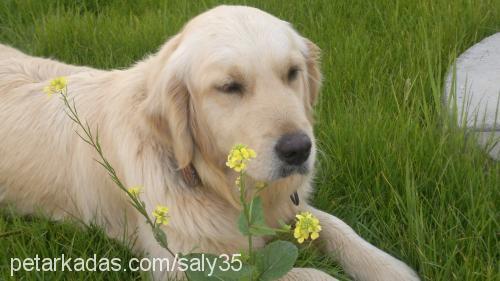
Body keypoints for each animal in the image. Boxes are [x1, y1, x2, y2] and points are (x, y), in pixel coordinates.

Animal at [0, 4, 420, 280]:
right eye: (230, 87)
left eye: (292, 73)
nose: (299, 149)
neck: (214, 183)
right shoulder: (184, 264)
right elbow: (306, 274)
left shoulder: (288, 208)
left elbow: (335, 226)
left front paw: (389, 268)